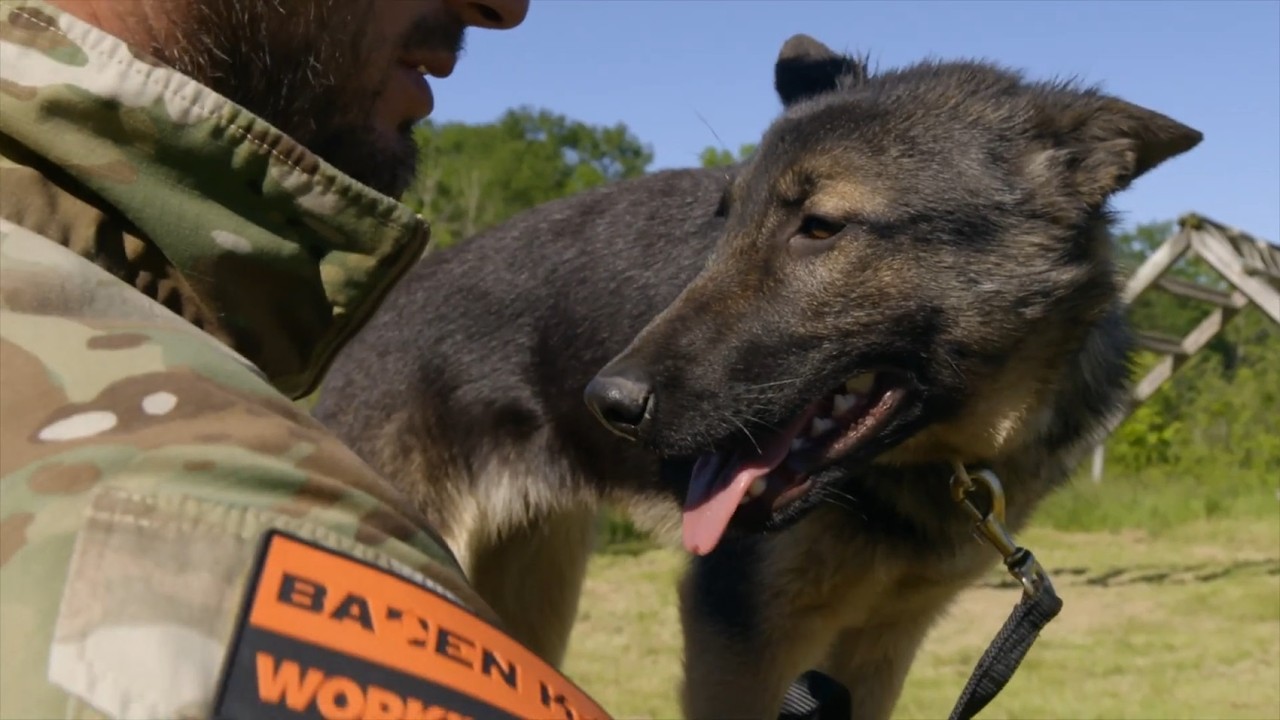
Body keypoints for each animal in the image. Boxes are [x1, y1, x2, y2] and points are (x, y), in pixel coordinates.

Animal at [314, 30, 1203, 712]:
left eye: (820, 226)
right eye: (726, 216)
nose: (606, 402)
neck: (932, 462)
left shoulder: (880, 645)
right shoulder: (742, 639)